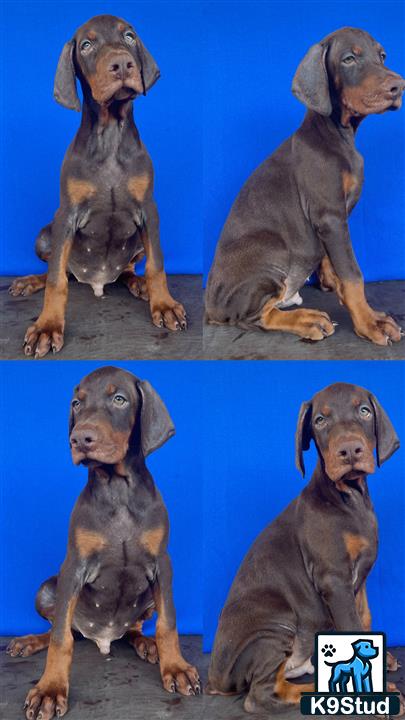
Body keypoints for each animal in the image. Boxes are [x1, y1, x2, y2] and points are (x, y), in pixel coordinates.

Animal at [7, 368, 200, 716]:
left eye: (119, 399)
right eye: (76, 403)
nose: (80, 439)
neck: (117, 487)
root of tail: (103, 637)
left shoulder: (162, 564)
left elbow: (168, 624)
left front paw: (175, 667)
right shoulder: (74, 566)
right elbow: (60, 639)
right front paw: (49, 689)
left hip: (147, 599)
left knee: (134, 630)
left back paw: (148, 646)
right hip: (47, 589)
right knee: (63, 628)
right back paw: (29, 640)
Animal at [9, 14, 186, 358]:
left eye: (129, 36)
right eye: (87, 45)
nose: (122, 64)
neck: (110, 134)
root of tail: (95, 280)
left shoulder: (149, 209)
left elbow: (157, 265)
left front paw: (164, 304)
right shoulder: (67, 215)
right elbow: (56, 281)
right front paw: (47, 326)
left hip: (136, 242)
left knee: (128, 269)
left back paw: (139, 285)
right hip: (45, 236)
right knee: (60, 270)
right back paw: (29, 281)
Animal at [205, 30, 404, 348]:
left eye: (382, 56)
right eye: (349, 59)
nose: (398, 86)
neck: (337, 135)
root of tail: (210, 307)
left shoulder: (330, 220)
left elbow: (332, 262)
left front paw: (335, 286)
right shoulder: (330, 216)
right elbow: (353, 274)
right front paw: (369, 322)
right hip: (272, 249)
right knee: (257, 316)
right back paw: (307, 320)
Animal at [207, 382, 402, 716]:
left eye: (364, 411)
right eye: (320, 420)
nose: (350, 450)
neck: (348, 498)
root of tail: (215, 680)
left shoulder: (358, 578)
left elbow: (364, 617)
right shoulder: (333, 579)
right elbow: (351, 623)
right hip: (275, 624)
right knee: (261, 695)